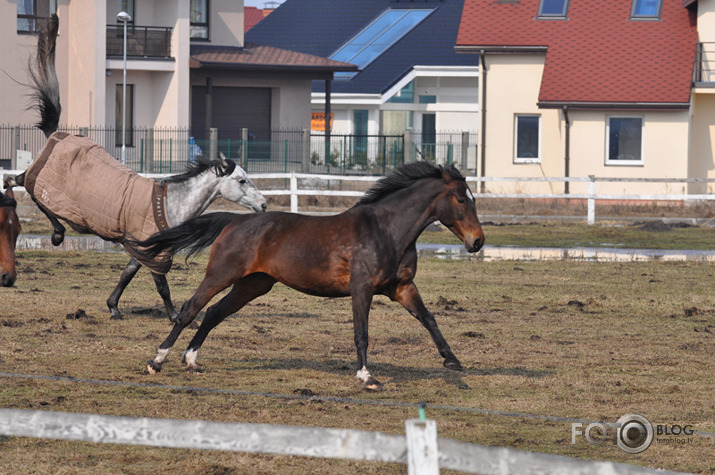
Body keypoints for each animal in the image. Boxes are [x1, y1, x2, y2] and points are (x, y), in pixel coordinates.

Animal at [9, 14, 266, 320]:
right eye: (241, 180)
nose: (264, 205)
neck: (170, 204)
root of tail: (57, 134)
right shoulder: (154, 252)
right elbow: (161, 285)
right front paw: (175, 317)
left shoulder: (143, 248)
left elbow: (127, 274)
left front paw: (114, 307)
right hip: (48, 187)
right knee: (24, 185)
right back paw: (57, 234)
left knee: (22, 184)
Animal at [134, 162, 484, 392]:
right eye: (461, 199)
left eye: (473, 198)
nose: (477, 242)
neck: (387, 230)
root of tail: (234, 221)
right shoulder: (362, 288)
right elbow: (361, 333)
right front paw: (367, 377)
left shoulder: (402, 288)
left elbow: (428, 318)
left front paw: (451, 360)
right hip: (221, 274)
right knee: (190, 310)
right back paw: (157, 361)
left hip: (252, 285)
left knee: (213, 313)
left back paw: (191, 360)